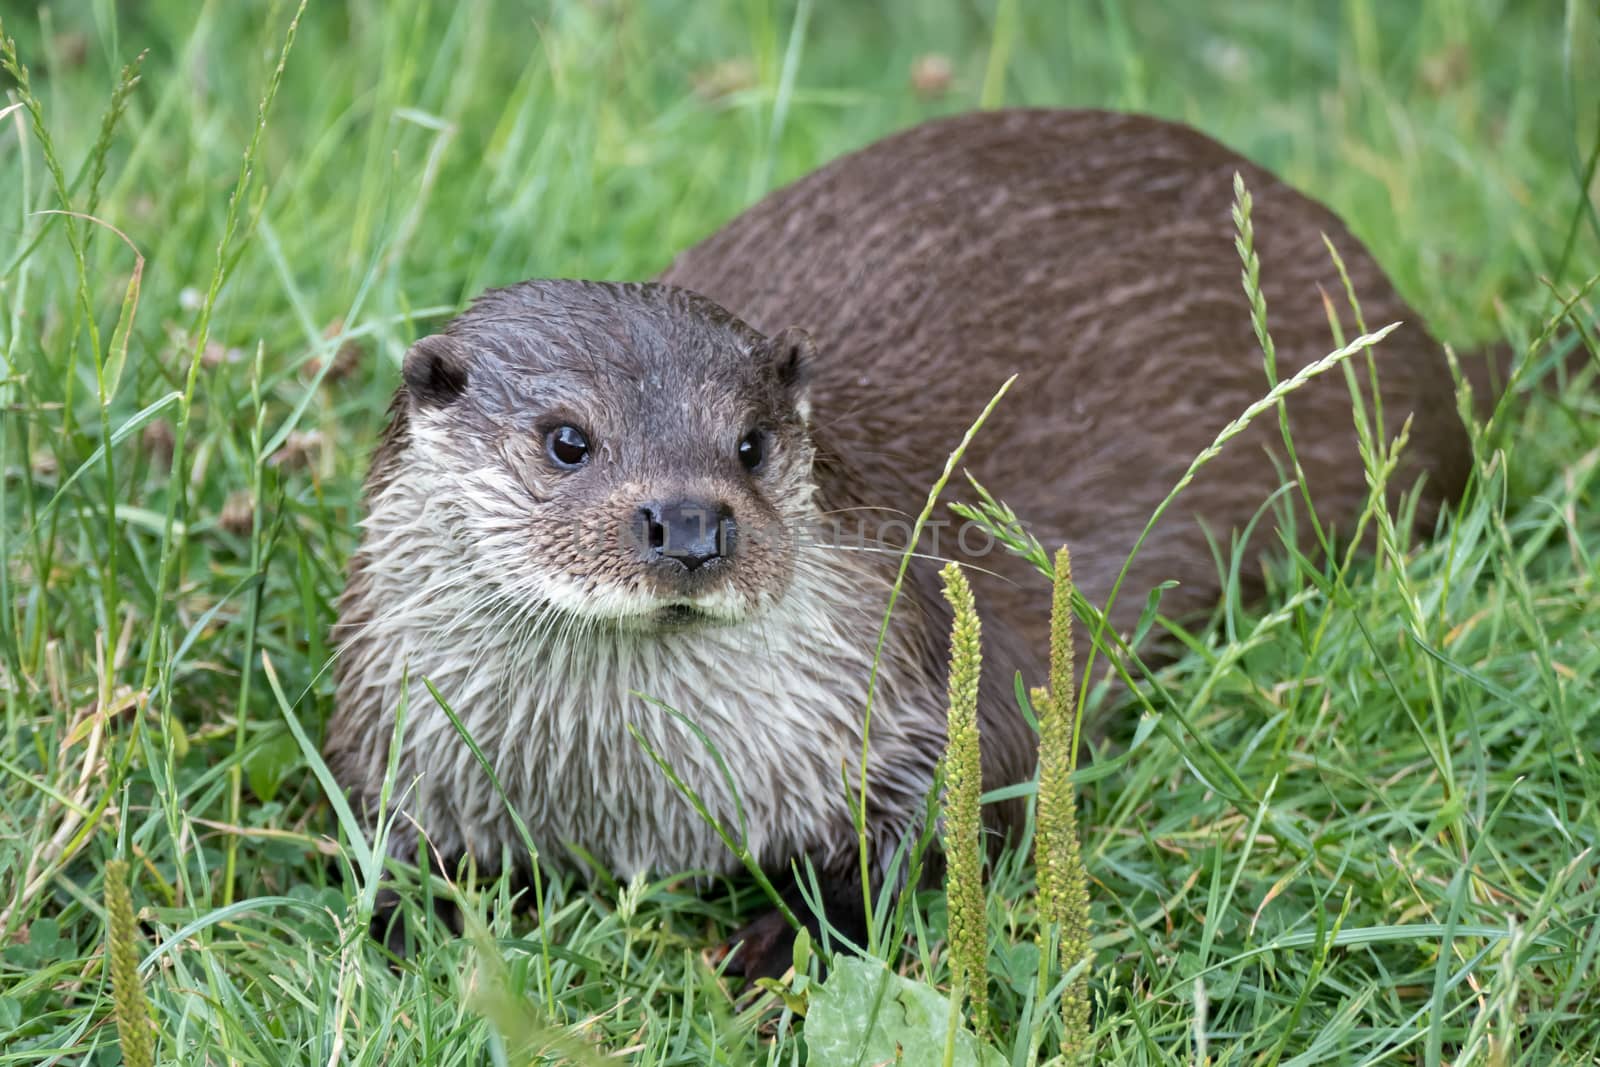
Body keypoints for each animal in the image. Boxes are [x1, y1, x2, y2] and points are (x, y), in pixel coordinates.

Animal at [328, 106, 1484, 979]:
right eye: (568, 439)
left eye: (750, 442)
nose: (692, 520)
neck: (627, 799)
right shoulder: (393, 733)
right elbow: (381, 850)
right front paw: (410, 931)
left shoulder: (916, 676)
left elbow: (960, 808)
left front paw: (777, 942)